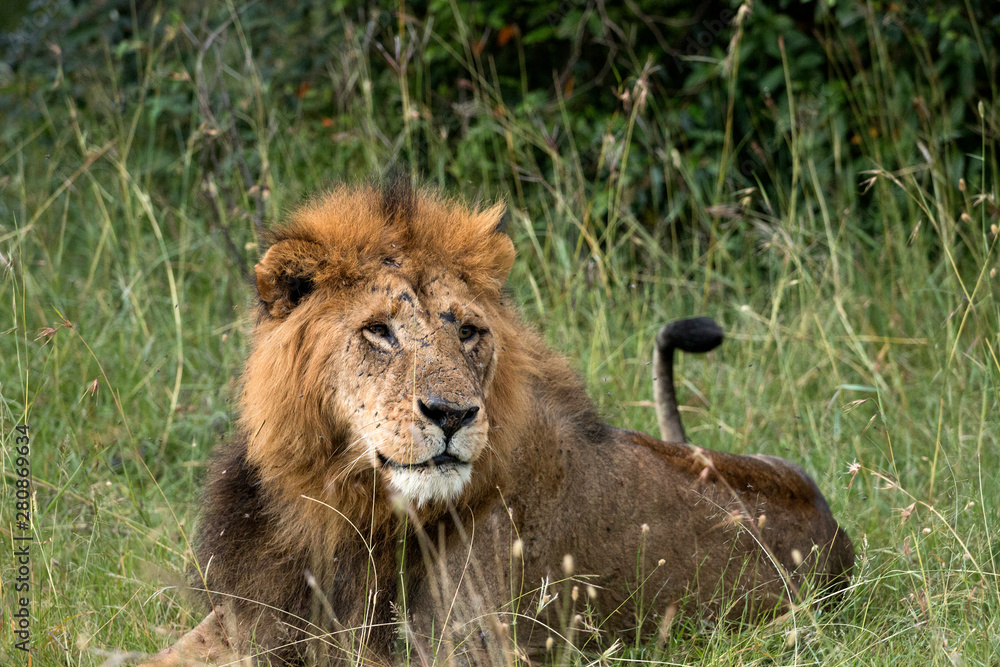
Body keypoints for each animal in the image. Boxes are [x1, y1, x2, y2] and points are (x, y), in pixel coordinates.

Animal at [139, 180, 853, 666]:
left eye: (469, 331)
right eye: (379, 331)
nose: (452, 414)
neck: (337, 511)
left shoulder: (470, 646)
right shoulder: (246, 621)